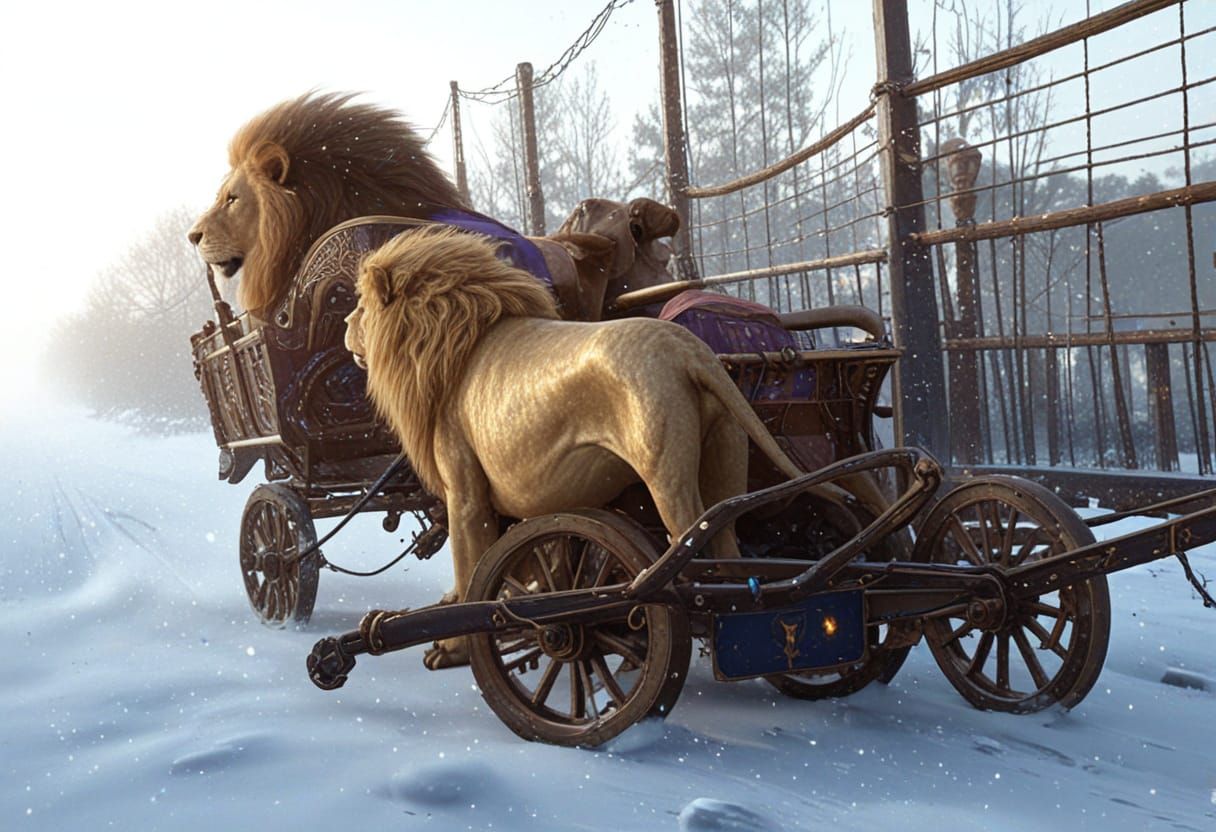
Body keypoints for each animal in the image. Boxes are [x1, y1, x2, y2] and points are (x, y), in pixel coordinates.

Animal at [344, 226, 806, 669]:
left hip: (666, 473)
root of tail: (688, 349)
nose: (346, 324)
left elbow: (470, 570)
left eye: (361, 308)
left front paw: (455, 648)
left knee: (691, 552)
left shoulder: (466, 495)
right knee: (729, 548)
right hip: (724, 458)